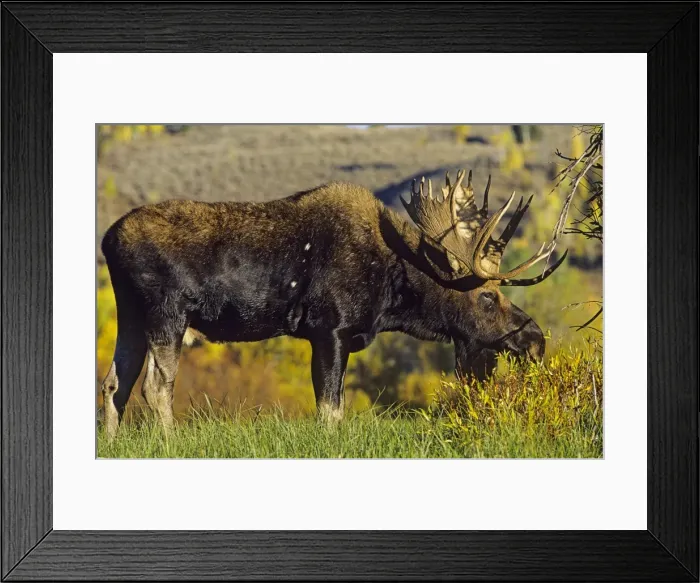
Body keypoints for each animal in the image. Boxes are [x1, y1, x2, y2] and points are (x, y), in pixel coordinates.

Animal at [99, 170, 567, 438]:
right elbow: (330, 411)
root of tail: (107, 239)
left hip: (132, 318)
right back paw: (169, 441)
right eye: (487, 296)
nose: (535, 339)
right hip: (167, 314)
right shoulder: (330, 330)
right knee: (154, 386)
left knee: (114, 384)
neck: (393, 291)